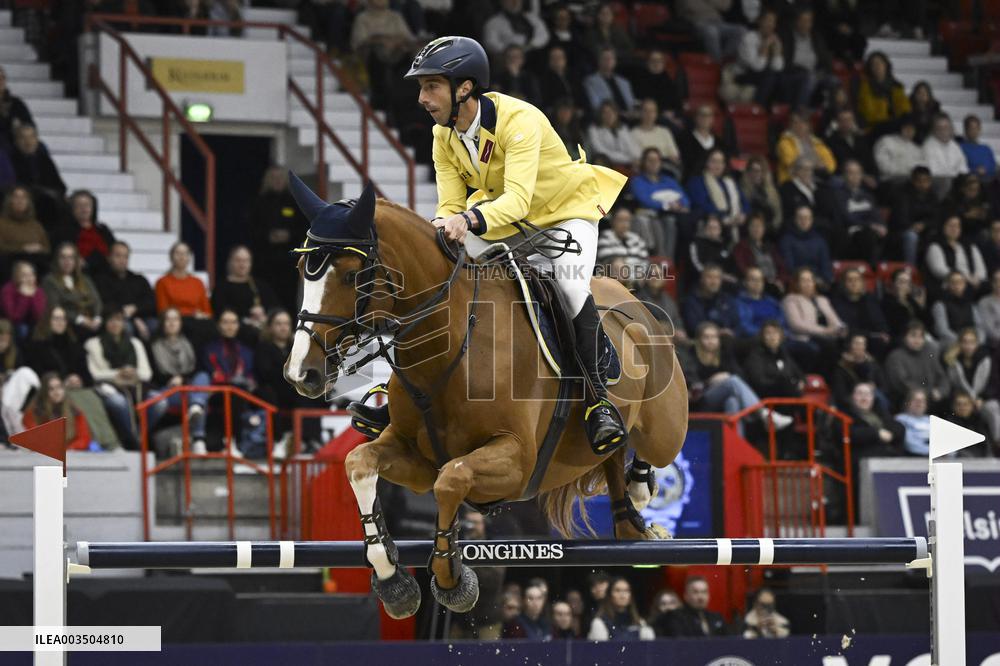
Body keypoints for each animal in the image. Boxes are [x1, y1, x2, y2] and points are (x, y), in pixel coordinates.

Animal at [283, 181, 688, 618]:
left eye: (351, 276)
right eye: (301, 272)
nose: (300, 374)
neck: (454, 345)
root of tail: (638, 306)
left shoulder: (518, 461)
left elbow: (452, 479)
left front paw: (452, 580)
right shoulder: (416, 459)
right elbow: (361, 464)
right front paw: (393, 580)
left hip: (666, 429)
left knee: (654, 448)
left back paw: (637, 477)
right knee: (617, 481)